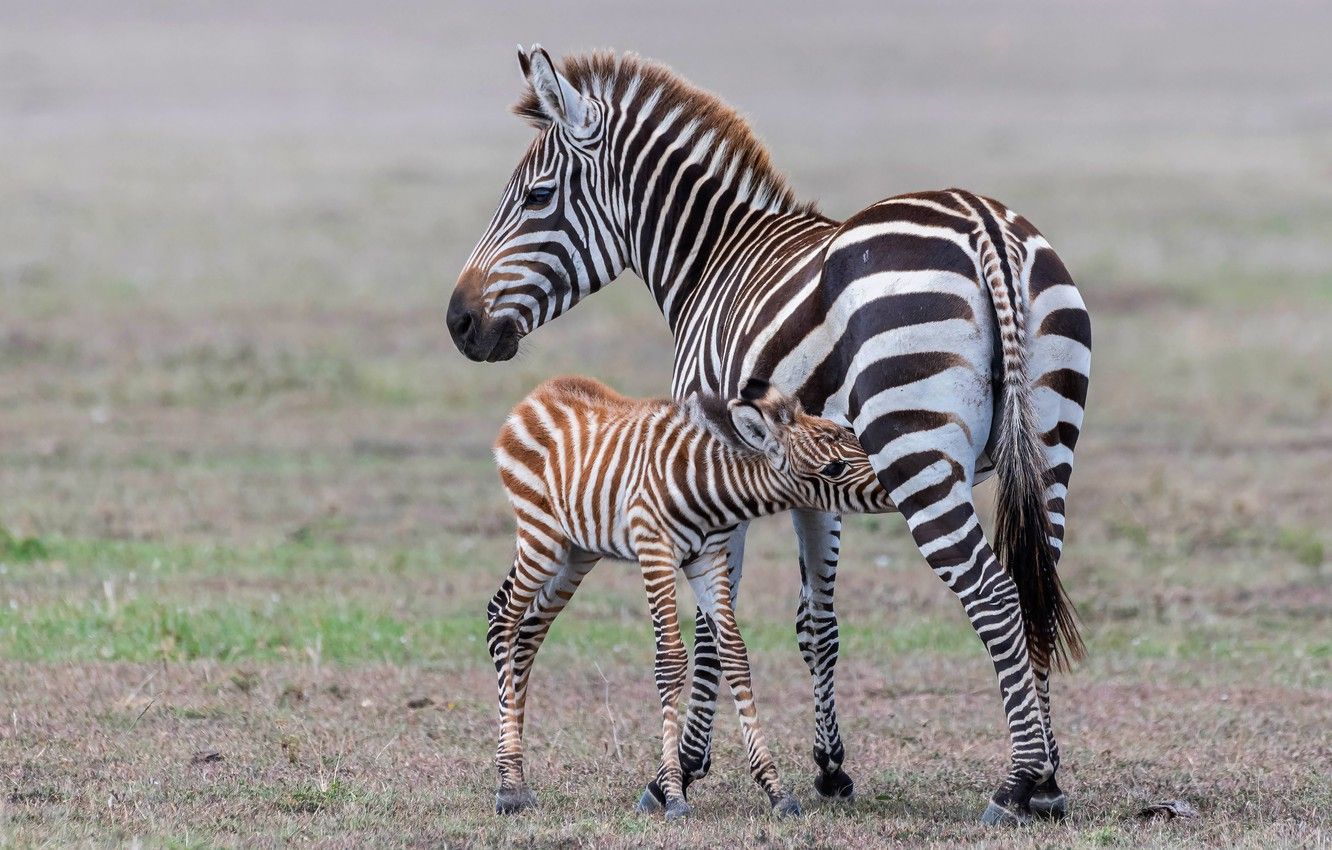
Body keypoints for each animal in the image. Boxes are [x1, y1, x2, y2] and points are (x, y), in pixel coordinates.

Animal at [490, 378, 895, 820]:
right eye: (834, 468)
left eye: (855, 440)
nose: (895, 486)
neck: (707, 486)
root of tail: (541, 393)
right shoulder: (655, 550)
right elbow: (670, 661)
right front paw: (673, 796)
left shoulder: (708, 559)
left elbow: (734, 654)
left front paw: (775, 790)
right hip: (540, 536)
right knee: (503, 619)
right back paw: (509, 785)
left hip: (575, 550)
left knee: (527, 630)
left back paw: (517, 772)